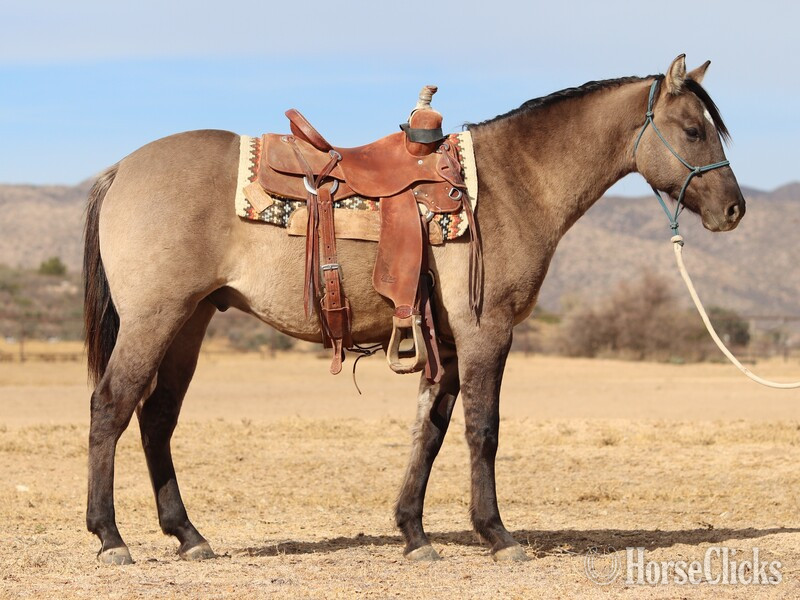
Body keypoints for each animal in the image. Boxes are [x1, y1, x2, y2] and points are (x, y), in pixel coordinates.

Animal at [83, 55, 745, 564]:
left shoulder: (445, 340)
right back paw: (111, 538)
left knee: (156, 417)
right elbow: (482, 429)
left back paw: (189, 536)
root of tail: (121, 169)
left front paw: (414, 534)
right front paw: (497, 535)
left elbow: (430, 429)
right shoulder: (486, 331)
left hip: (189, 322)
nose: (734, 210)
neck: (510, 184)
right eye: (693, 131)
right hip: (155, 319)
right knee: (111, 406)